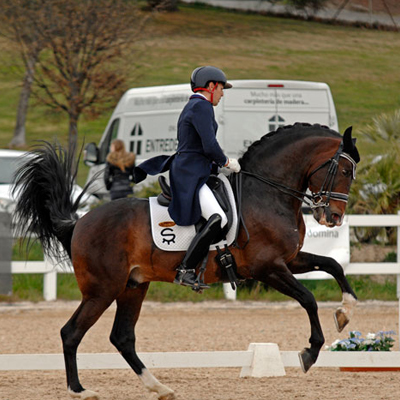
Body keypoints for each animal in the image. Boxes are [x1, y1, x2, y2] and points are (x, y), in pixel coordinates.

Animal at [14, 122, 360, 400]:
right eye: (344, 171)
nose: (334, 217)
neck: (266, 194)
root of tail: (80, 222)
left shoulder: (289, 259)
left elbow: (333, 265)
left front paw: (345, 311)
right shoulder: (268, 267)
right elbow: (309, 298)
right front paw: (310, 352)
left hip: (132, 287)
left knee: (122, 337)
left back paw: (159, 387)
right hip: (102, 290)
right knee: (71, 333)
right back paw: (80, 391)